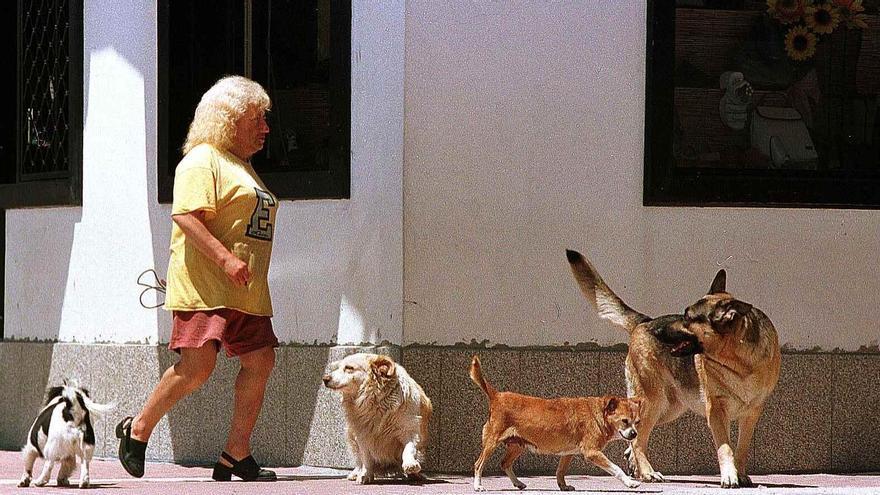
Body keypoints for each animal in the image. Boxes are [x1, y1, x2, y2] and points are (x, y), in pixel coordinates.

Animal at [324, 352, 434, 484]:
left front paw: (410, 464)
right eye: (338, 367)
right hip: (350, 434)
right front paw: (365, 474)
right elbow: (366, 458)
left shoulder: (410, 430)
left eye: (349, 368)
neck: (375, 400)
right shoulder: (362, 435)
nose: (325, 379)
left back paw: (415, 475)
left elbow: (409, 448)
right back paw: (356, 472)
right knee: (359, 460)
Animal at [470, 356, 644, 492]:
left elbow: (560, 471)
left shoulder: (568, 453)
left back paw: (518, 483)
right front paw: (631, 482)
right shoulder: (592, 452)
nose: (635, 434)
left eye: (637, 422)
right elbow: (616, 468)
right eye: (624, 421)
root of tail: (497, 395)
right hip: (492, 442)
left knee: (504, 463)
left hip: (517, 445)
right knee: (479, 464)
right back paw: (478, 486)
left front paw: (563, 486)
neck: (598, 414)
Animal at [568, 250, 780, 490]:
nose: (658, 331)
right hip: (653, 403)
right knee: (638, 440)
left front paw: (741, 474)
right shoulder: (716, 411)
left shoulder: (751, 414)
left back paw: (637, 470)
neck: (740, 362)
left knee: (633, 440)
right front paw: (729, 476)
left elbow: (741, 449)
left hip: (668, 410)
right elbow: (725, 448)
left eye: (688, 318)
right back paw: (648, 473)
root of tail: (644, 322)